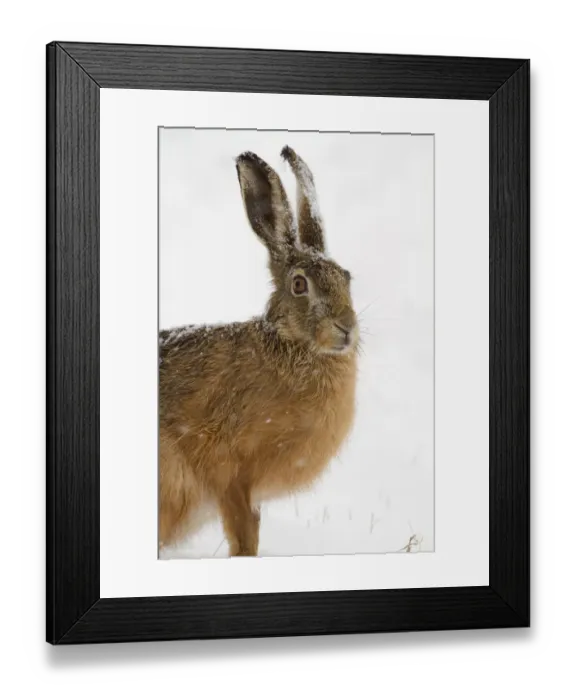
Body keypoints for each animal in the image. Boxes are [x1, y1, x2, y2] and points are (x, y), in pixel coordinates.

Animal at [159, 146, 359, 557]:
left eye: (347, 278)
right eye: (299, 285)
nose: (347, 327)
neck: (293, 347)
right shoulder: (229, 472)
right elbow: (243, 536)